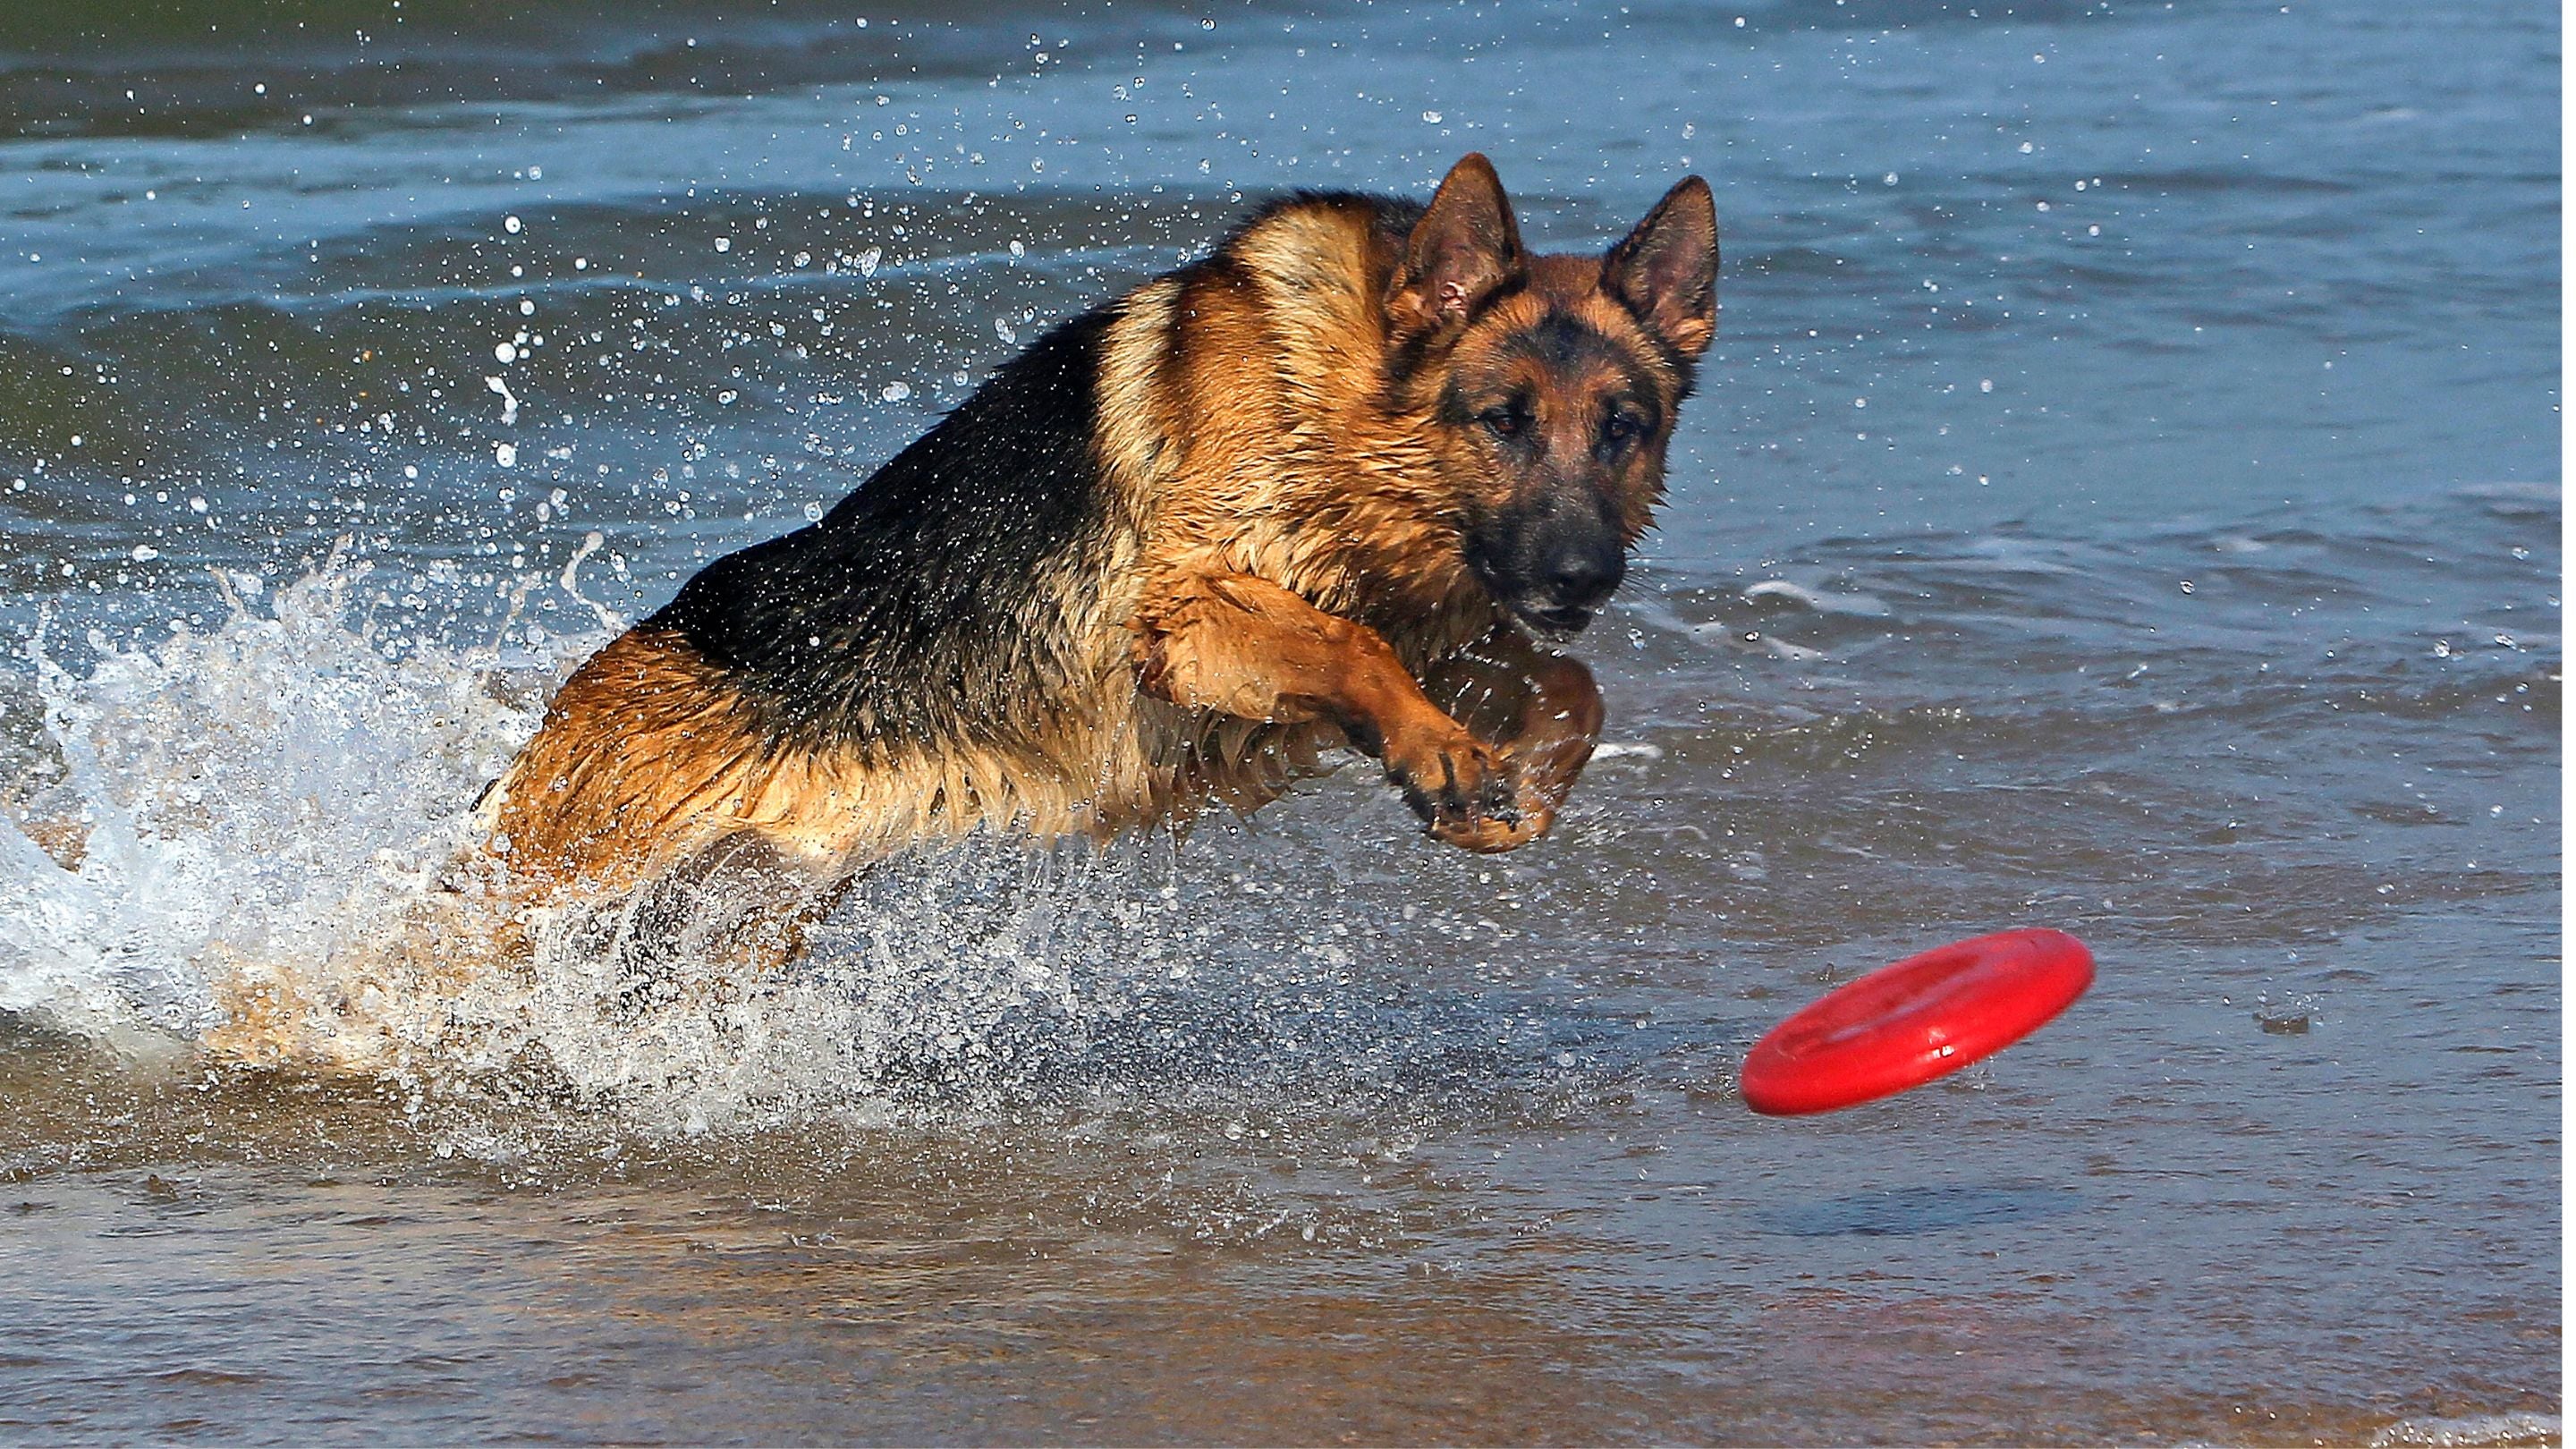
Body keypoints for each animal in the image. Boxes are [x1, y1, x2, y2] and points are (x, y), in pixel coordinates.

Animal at [479, 152, 1731, 964]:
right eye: (1503, 422)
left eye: (1624, 428)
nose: (1580, 579)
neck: (1351, 405)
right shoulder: (1188, 614)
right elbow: (1348, 642)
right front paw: (1444, 755)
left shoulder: (1435, 636)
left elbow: (1570, 685)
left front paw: (1503, 789)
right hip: (543, 894)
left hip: (749, 917)